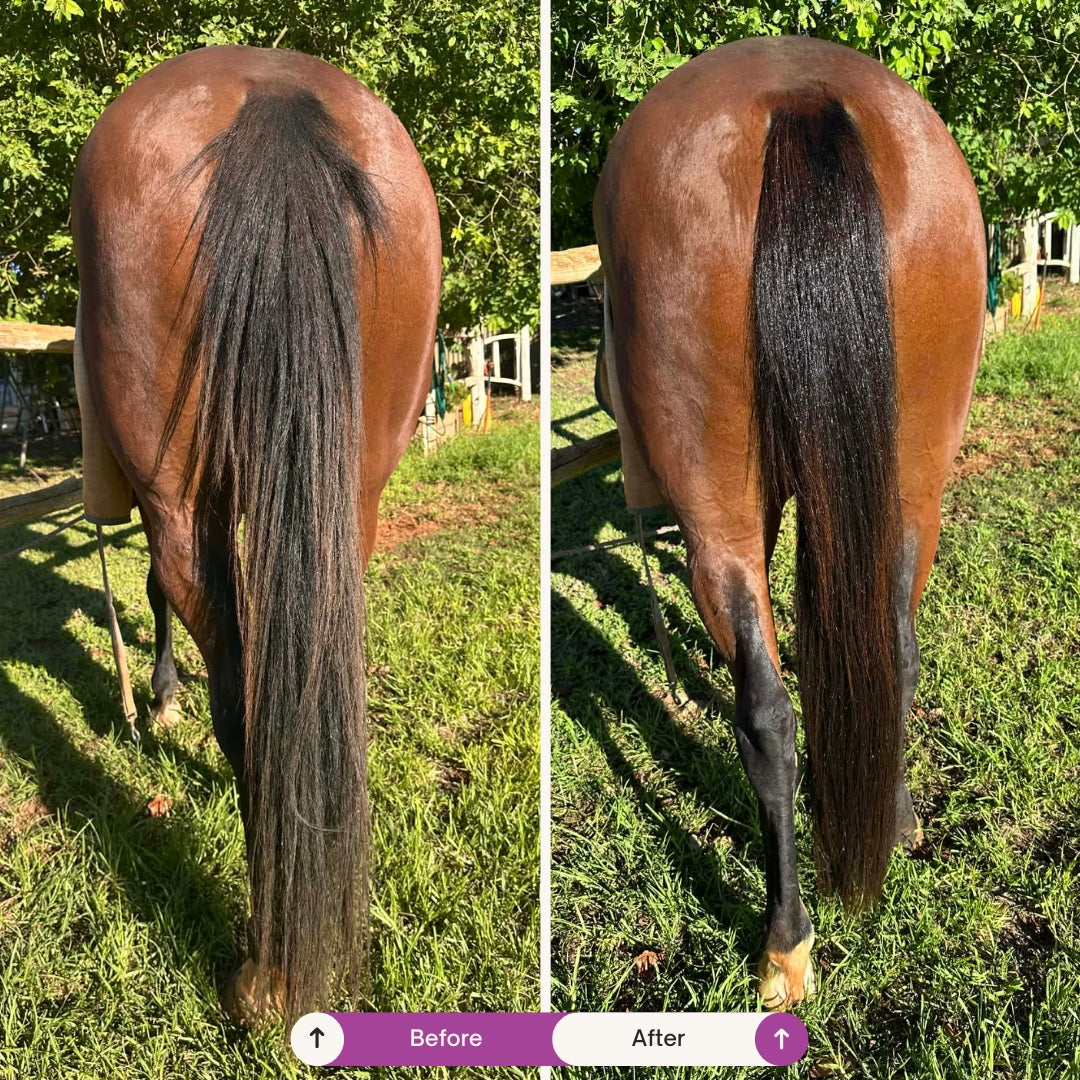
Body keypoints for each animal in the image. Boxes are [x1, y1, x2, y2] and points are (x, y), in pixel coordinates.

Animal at [71, 45, 441, 1023]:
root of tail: (273, 96)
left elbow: (156, 593)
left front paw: (161, 698)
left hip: (179, 499)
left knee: (243, 691)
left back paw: (266, 974)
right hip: (355, 490)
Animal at [594, 35, 985, 1009]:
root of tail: (799, 94)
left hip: (720, 514)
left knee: (766, 716)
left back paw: (784, 943)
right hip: (915, 475)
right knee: (896, 648)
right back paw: (894, 822)